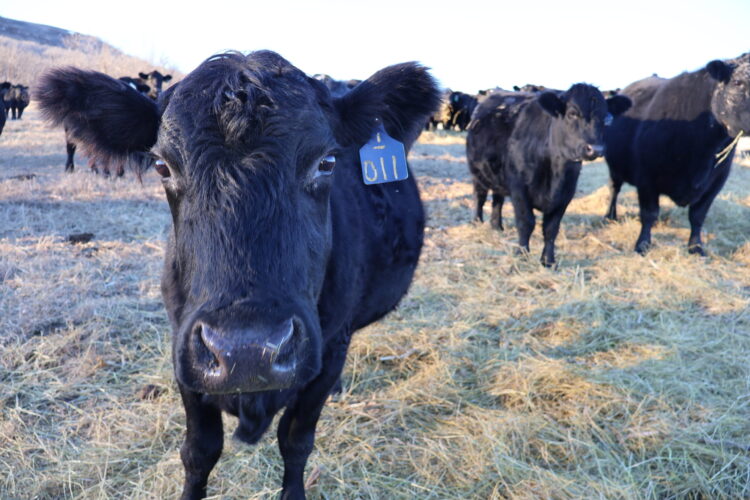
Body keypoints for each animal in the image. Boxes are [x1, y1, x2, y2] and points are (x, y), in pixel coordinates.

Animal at [37, 50, 440, 500]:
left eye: (327, 162)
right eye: (162, 165)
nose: (246, 350)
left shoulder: (332, 345)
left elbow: (296, 441)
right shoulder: (183, 346)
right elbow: (200, 450)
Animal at [467, 84, 631, 266]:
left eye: (605, 117)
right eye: (572, 113)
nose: (596, 149)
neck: (555, 173)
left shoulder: (566, 193)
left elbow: (551, 228)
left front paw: (548, 261)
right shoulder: (519, 189)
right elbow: (526, 222)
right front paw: (522, 255)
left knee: (498, 199)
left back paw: (497, 226)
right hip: (477, 173)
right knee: (480, 196)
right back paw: (476, 222)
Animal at [604, 56, 750, 255]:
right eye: (737, 82)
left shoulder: (715, 183)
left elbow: (697, 216)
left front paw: (696, 247)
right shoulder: (647, 179)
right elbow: (649, 214)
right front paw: (642, 245)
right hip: (615, 168)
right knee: (614, 189)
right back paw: (609, 216)